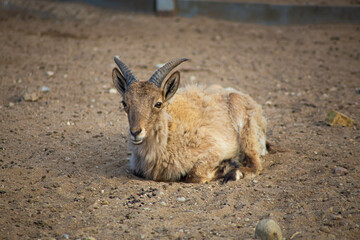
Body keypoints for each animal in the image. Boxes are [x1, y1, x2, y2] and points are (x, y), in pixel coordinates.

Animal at [112, 57, 268, 183]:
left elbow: (194, 175)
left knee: (255, 164)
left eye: (158, 103)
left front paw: (226, 166)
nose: (135, 132)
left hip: (245, 126)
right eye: (124, 103)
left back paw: (235, 173)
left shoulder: (213, 149)